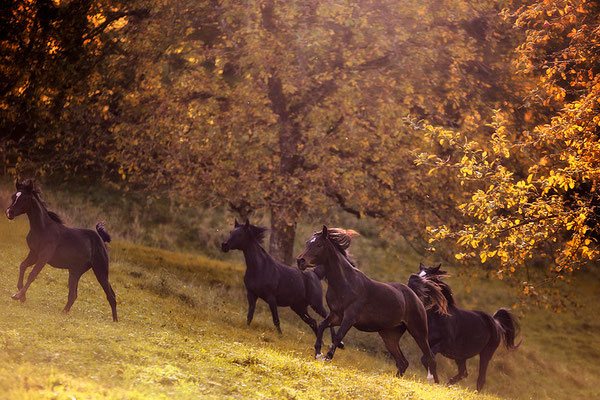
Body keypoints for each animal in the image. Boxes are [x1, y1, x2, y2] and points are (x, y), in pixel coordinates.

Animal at [4, 180, 117, 322]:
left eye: (24, 198)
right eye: (14, 196)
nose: (9, 212)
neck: (42, 228)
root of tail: (102, 241)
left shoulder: (44, 256)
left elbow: (32, 274)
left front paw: (18, 296)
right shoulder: (34, 254)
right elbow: (22, 266)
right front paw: (22, 296)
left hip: (100, 270)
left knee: (111, 295)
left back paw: (115, 322)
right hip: (75, 271)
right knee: (73, 294)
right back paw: (64, 313)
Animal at [298, 225, 448, 382]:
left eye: (319, 245)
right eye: (308, 242)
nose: (300, 261)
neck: (345, 283)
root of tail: (414, 295)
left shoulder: (349, 317)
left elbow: (338, 336)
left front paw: (327, 357)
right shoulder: (336, 315)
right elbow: (322, 326)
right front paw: (318, 353)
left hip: (418, 331)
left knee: (430, 359)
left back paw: (434, 383)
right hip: (389, 335)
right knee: (403, 363)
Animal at [408, 262, 520, 390]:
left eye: (429, 276)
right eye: (419, 273)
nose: (413, 282)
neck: (439, 316)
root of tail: (496, 322)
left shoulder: (442, 344)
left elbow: (427, 359)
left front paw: (433, 380)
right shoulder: (429, 343)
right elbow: (427, 359)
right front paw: (434, 381)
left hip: (486, 354)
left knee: (480, 379)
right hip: (460, 356)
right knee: (464, 373)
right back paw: (448, 384)